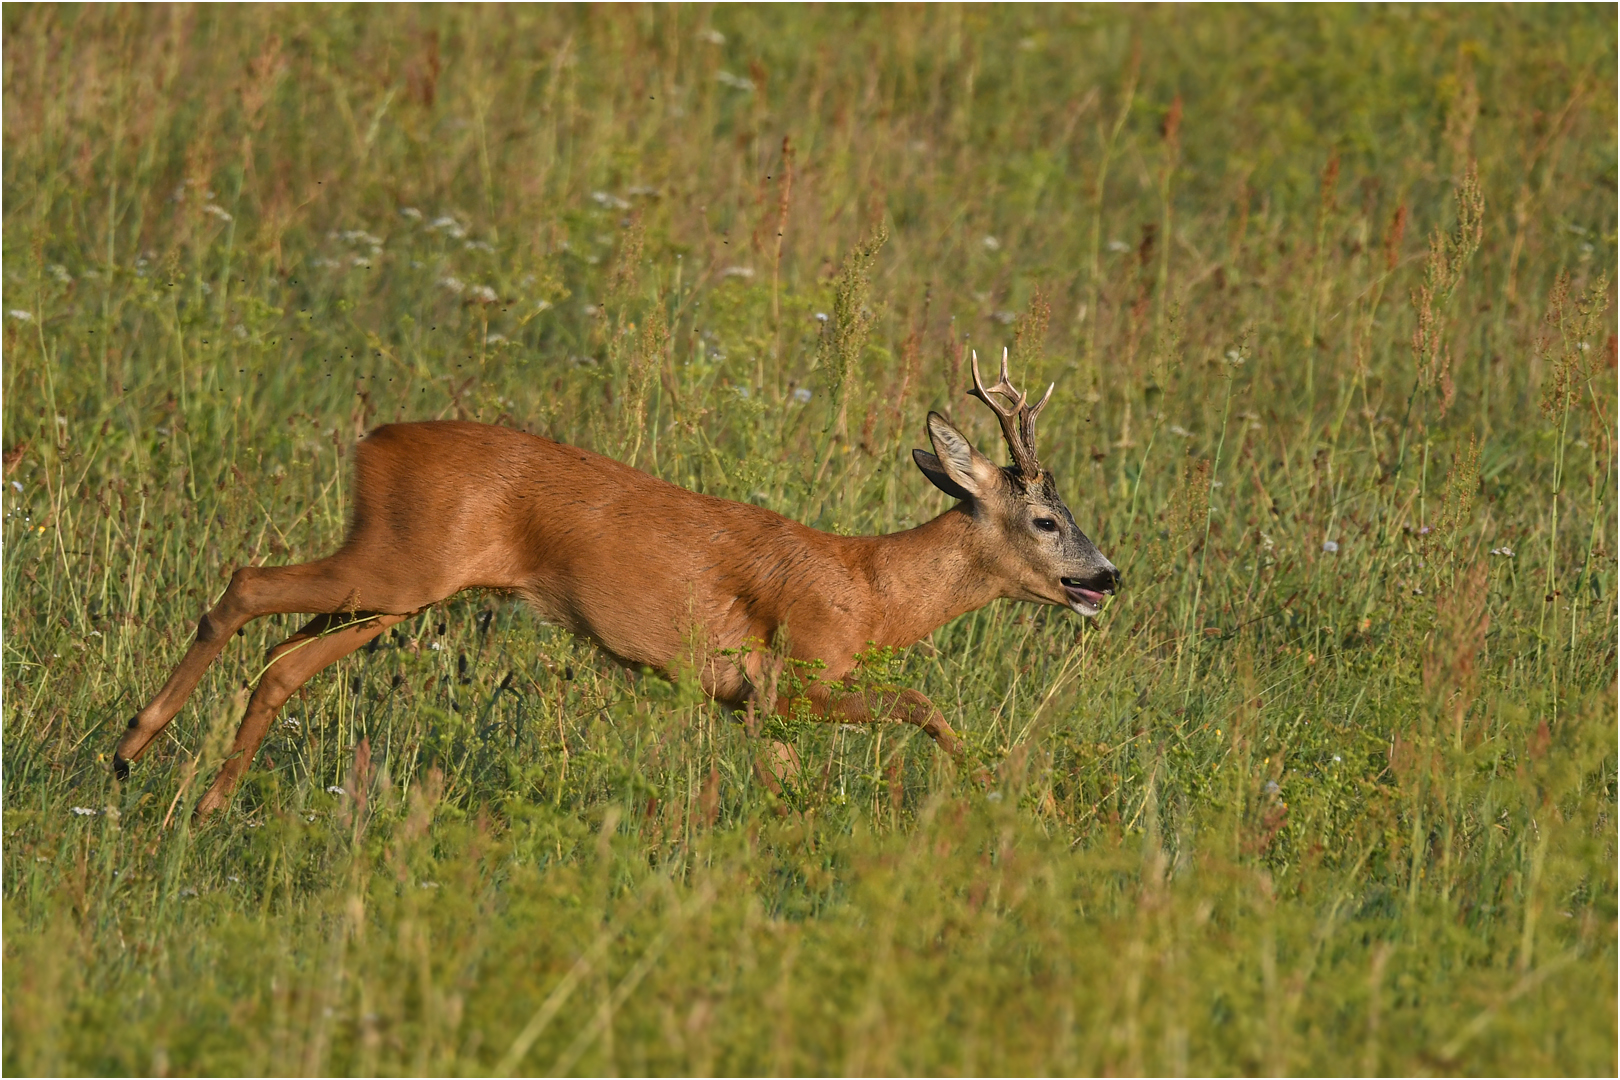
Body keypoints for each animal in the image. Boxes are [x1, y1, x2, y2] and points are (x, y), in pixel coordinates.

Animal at [117, 351, 1114, 816]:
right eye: (1046, 520)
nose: (1107, 574)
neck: (872, 588)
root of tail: (373, 441)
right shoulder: (795, 679)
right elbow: (919, 703)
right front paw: (994, 786)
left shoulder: (753, 705)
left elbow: (796, 788)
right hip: (397, 565)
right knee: (245, 583)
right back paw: (133, 745)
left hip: (397, 593)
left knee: (283, 662)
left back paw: (203, 800)